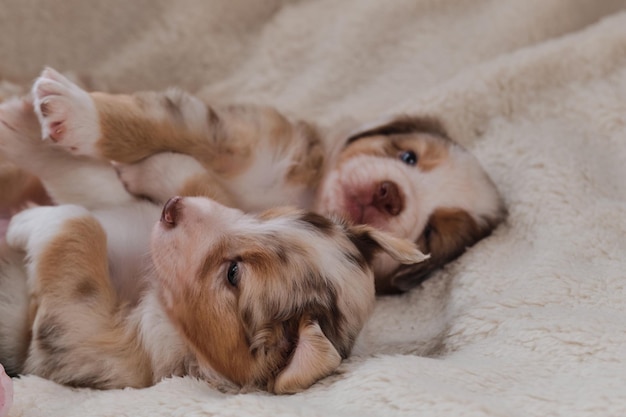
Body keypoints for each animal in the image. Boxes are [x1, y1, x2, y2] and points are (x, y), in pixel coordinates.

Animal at [0, 96, 426, 392]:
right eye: (265, 217)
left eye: (233, 273)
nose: (171, 208)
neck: (152, 283)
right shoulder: (132, 212)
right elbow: (94, 181)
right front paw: (24, 126)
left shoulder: (89, 347)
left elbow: (80, 222)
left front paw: (25, 221)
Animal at [11, 68, 502, 292]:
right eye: (408, 156)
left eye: (431, 232)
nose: (390, 196)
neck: (302, 193)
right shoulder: (240, 136)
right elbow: (168, 124)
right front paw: (76, 113)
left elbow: (198, 184)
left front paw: (151, 169)